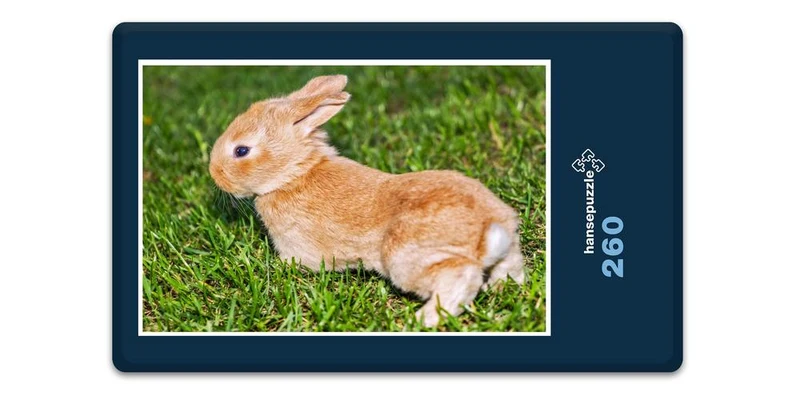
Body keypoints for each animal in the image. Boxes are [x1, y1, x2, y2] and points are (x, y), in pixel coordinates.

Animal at [209, 75, 526, 327]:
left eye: (241, 150)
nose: (214, 173)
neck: (294, 174)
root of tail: (489, 230)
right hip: (505, 250)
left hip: (405, 259)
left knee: (460, 280)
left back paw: (421, 319)